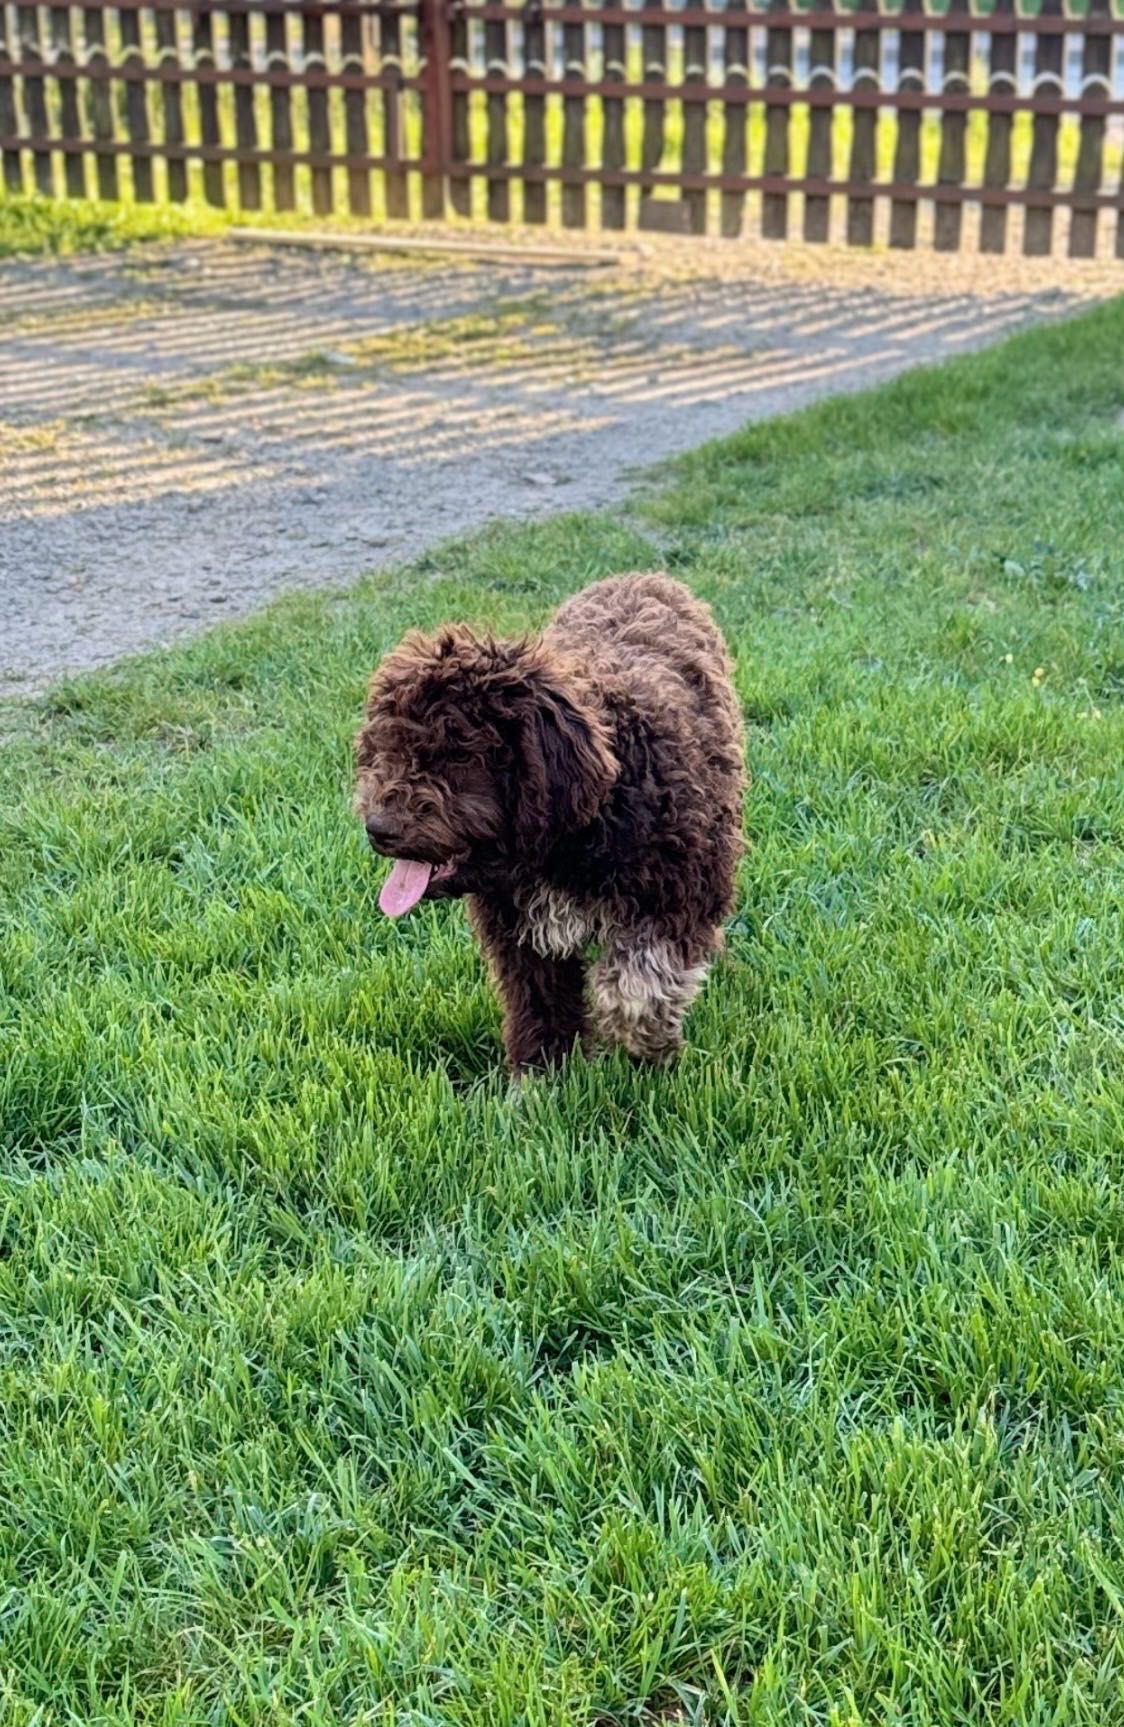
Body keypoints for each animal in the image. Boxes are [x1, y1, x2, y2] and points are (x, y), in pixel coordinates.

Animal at [355, 573, 745, 1070]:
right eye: (386, 748)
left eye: (458, 755)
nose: (378, 828)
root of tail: (645, 576)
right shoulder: (521, 930)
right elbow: (538, 1000)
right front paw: (542, 1073)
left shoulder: (682, 890)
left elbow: (636, 987)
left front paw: (650, 1043)